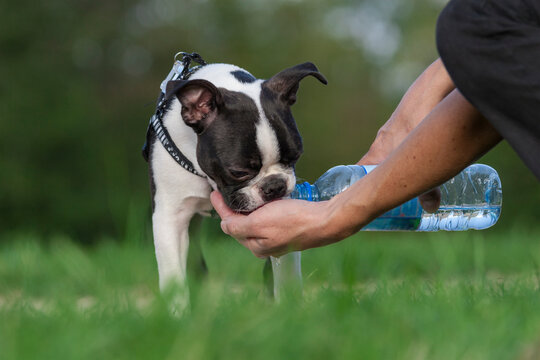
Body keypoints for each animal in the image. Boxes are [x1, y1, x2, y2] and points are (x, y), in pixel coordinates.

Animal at [143, 58, 326, 304]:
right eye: (238, 172)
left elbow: (285, 272)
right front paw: (177, 311)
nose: (274, 186)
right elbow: (174, 279)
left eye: (294, 157)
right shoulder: (170, 216)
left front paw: (289, 306)